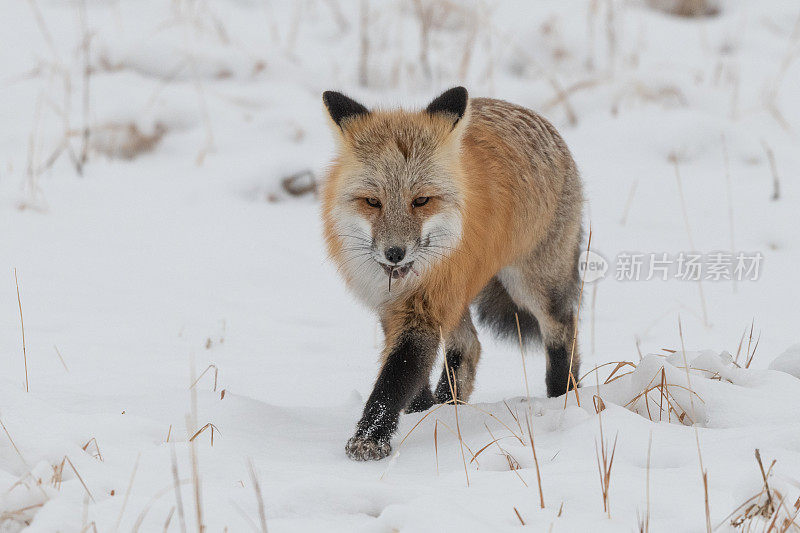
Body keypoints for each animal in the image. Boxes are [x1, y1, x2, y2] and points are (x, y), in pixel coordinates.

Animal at [322, 88, 584, 462]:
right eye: (372, 202)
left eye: (421, 201)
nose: (394, 253)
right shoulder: (393, 306)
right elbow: (409, 369)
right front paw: (420, 412)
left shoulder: (425, 307)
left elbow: (395, 377)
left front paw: (370, 438)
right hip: (460, 295)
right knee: (469, 346)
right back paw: (449, 407)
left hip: (531, 285)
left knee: (562, 330)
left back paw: (563, 396)